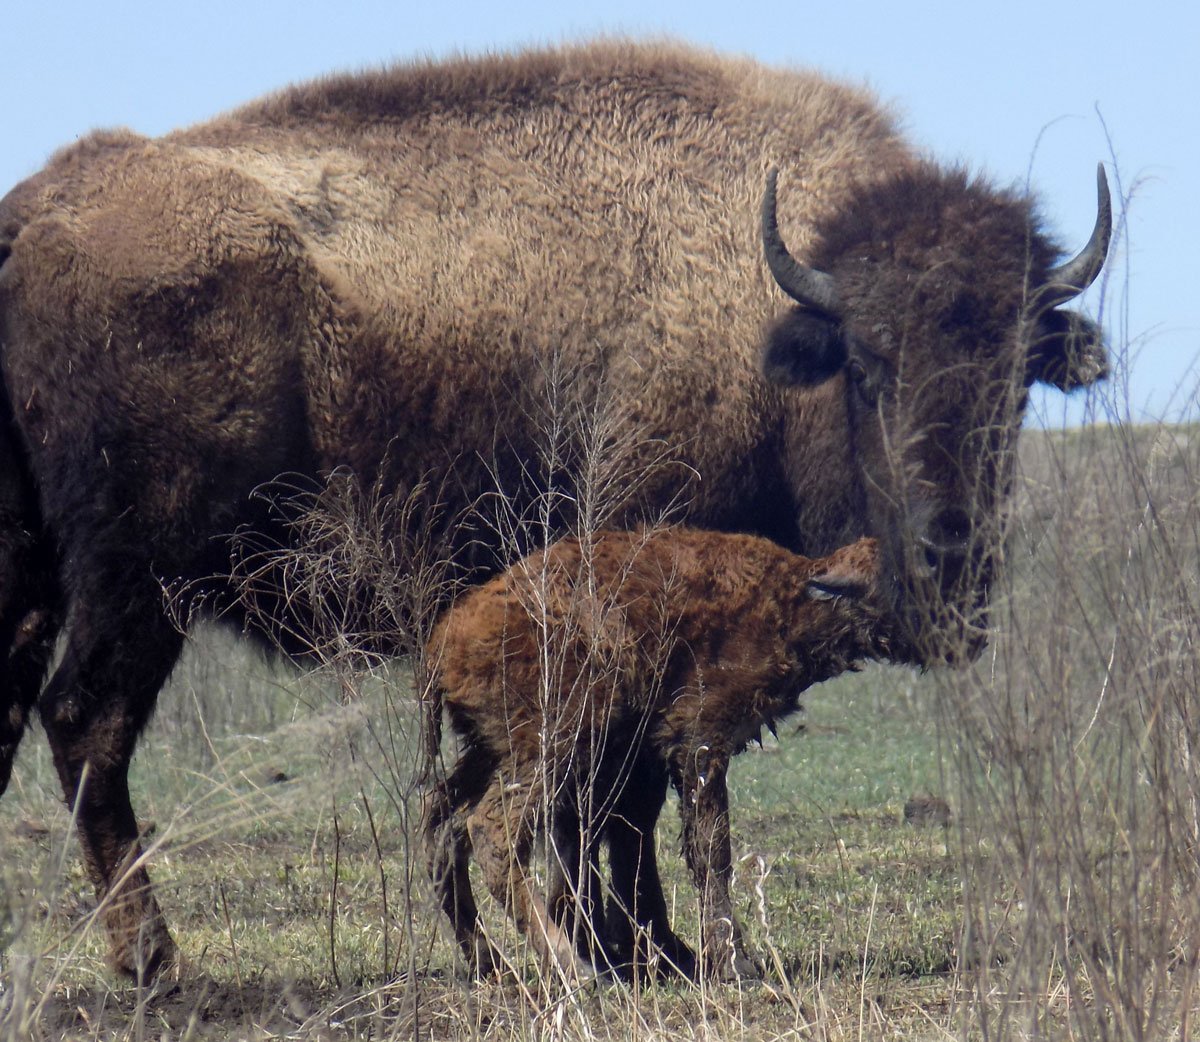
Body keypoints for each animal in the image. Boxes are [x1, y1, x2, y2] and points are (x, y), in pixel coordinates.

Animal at [0, 41, 1109, 980]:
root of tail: (30, 216)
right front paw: (649, 948)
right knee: (87, 723)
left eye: (1020, 379)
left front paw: (632, 945)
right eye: (870, 367)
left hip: (41, 576)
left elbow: (614, 797)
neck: (768, 321)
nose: (949, 556)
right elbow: (629, 797)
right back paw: (156, 963)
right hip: (141, 581)